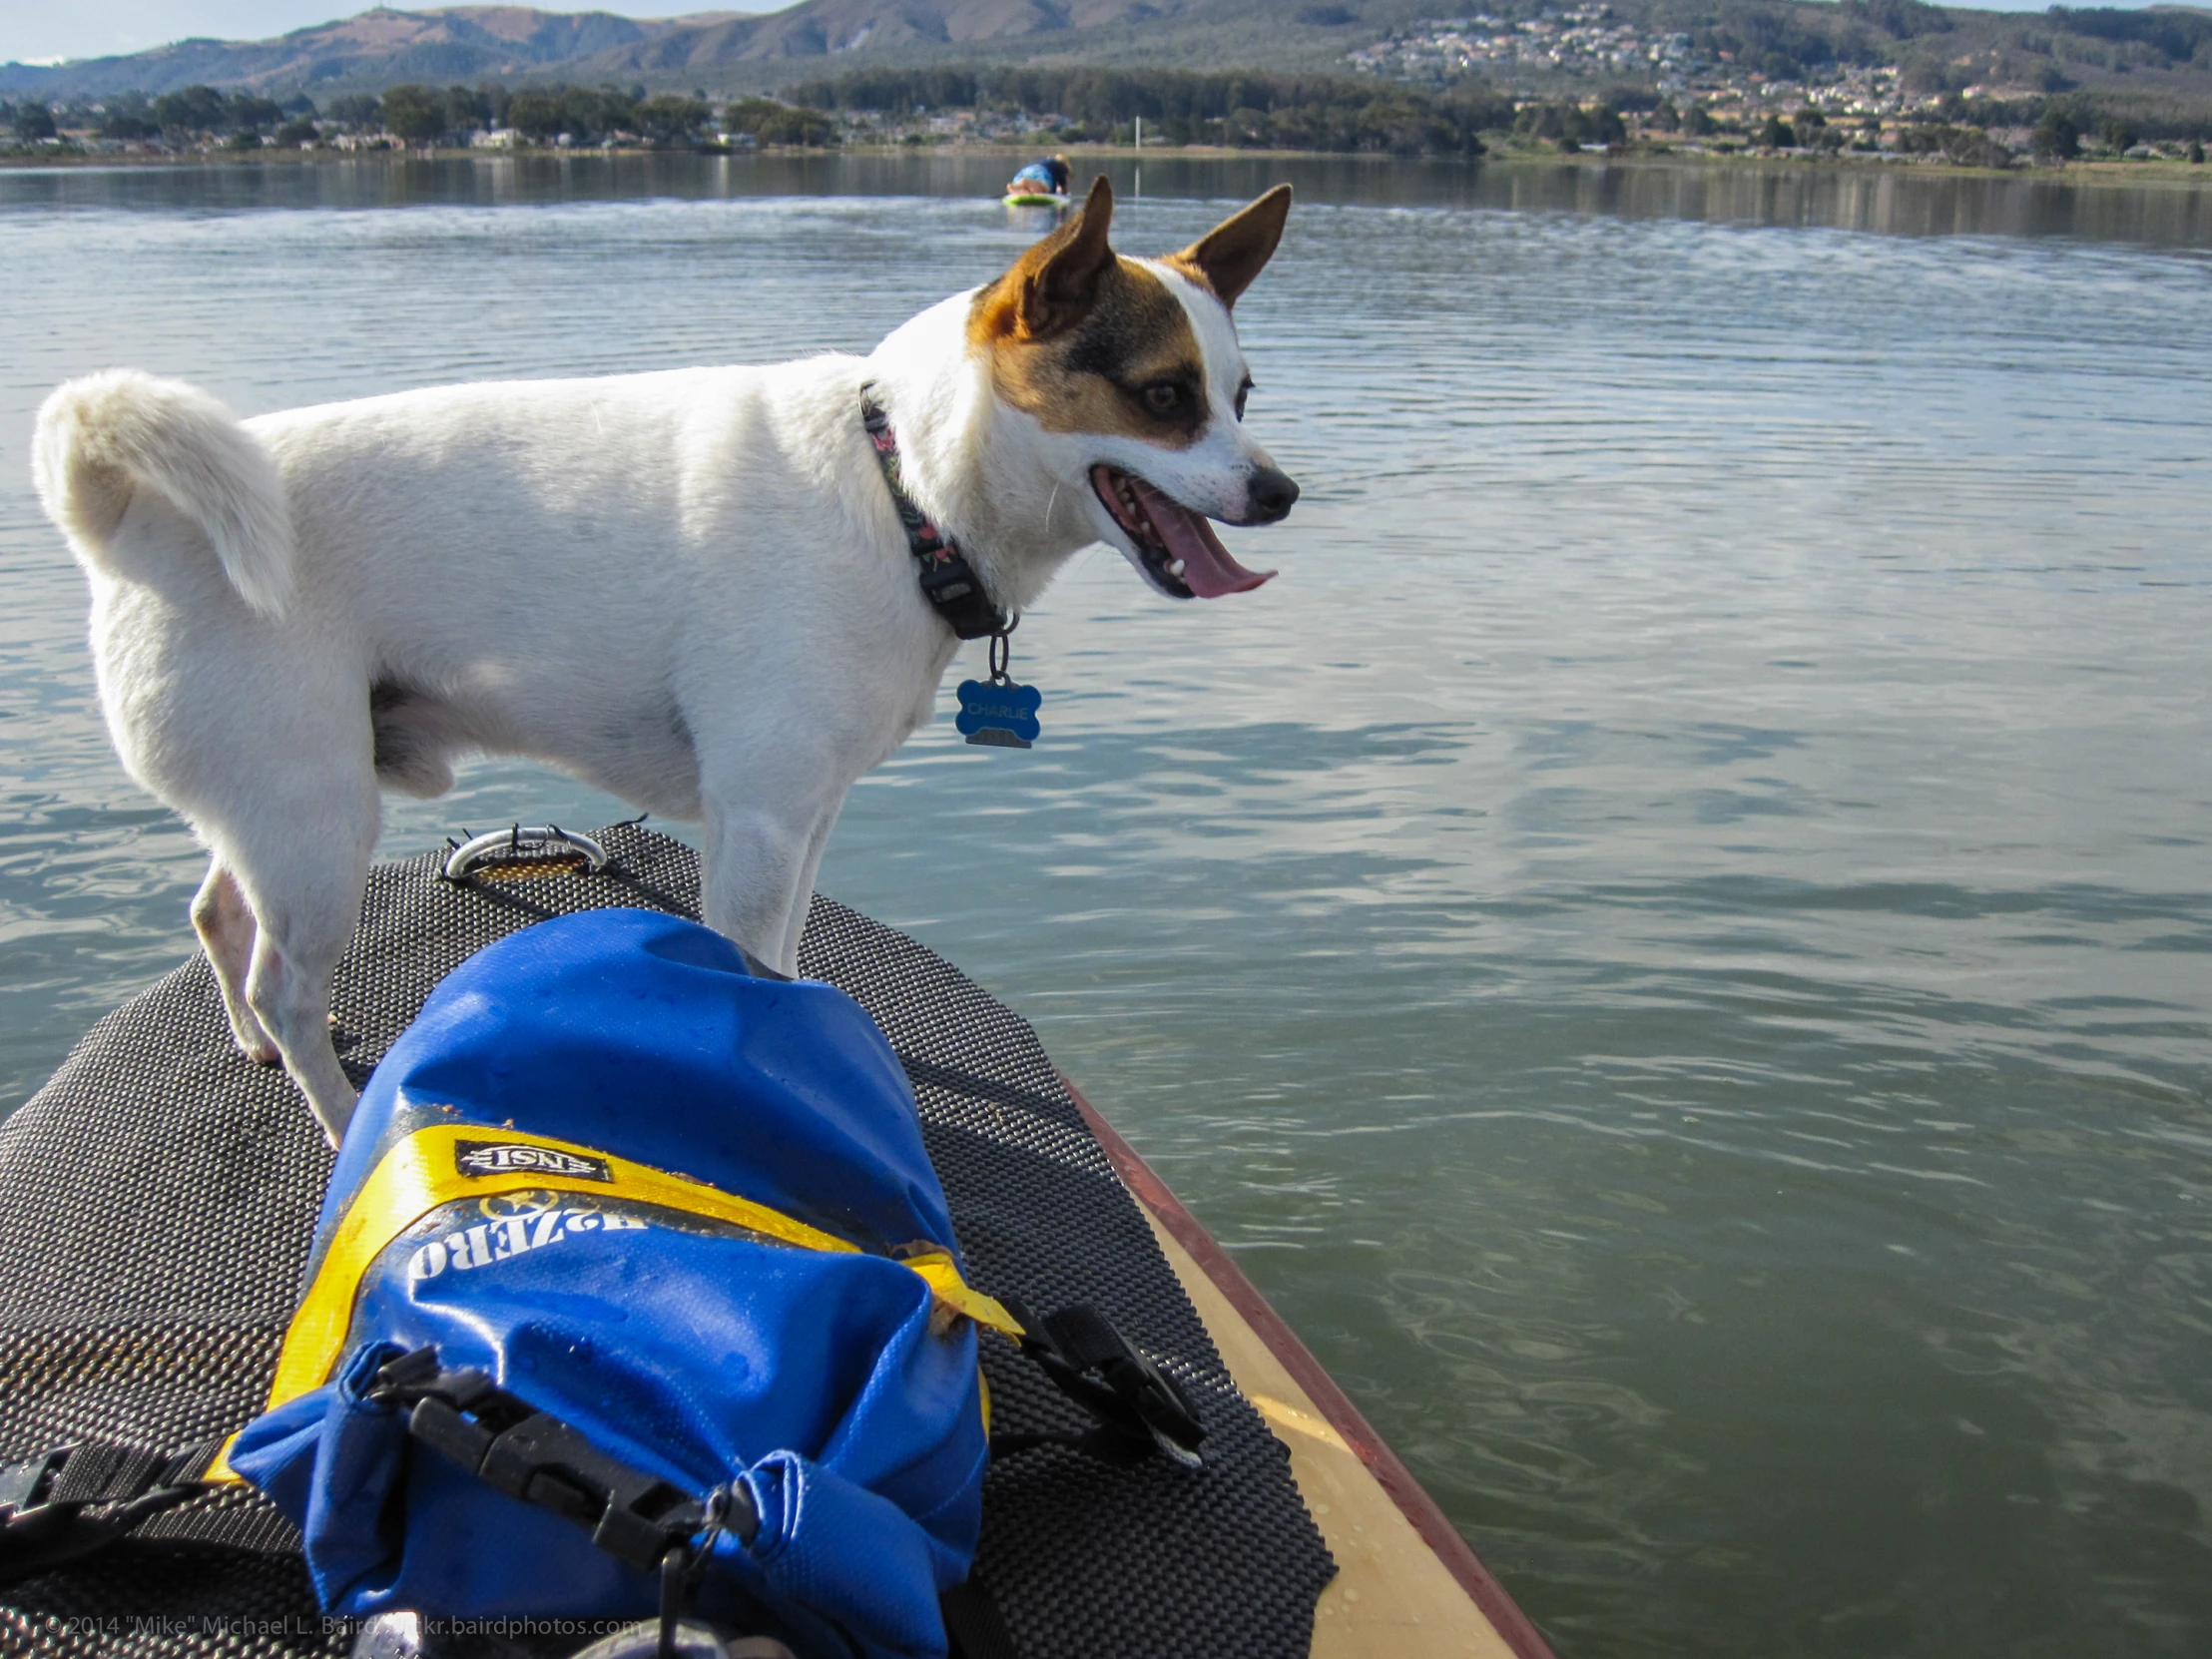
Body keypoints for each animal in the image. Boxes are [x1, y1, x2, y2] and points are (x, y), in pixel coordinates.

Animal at [30, 179, 1292, 1141]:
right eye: (1163, 397)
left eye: (1239, 394)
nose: (1279, 491)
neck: (898, 485)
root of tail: (134, 527)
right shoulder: (763, 820)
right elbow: (747, 967)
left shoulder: (798, 815)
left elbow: (779, 955)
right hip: (316, 824)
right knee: (282, 983)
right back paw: (343, 1116)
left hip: (274, 807)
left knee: (217, 917)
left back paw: (251, 1047)